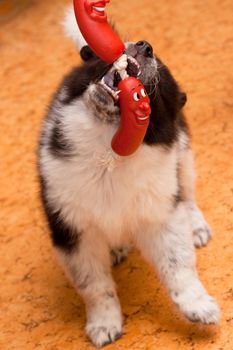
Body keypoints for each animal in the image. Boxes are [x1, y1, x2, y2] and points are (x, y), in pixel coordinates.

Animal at [37, 8, 219, 348]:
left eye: (159, 83)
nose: (145, 46)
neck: (107, 154)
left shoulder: (161, 214)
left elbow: (179, 265)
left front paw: (198, 306)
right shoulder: (73, 231)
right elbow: (95, 286)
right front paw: (104, 324)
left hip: (184, 154)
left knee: (187, 193)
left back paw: (197, 227)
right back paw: (118, 249)